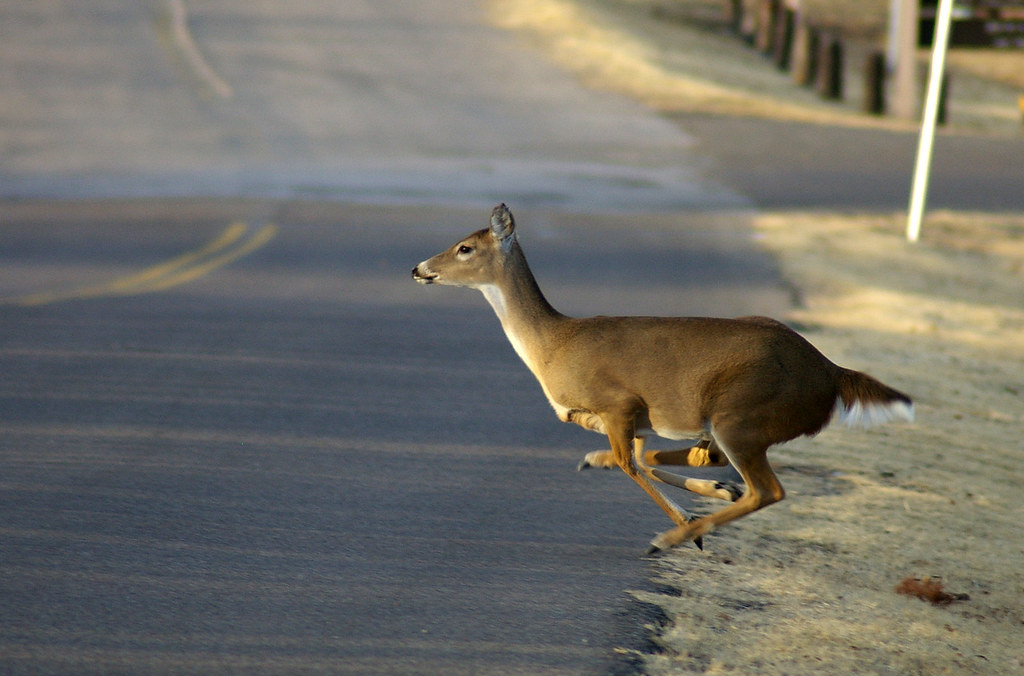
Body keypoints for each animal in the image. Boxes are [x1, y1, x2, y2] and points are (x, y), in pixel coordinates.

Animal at [412, 204, 913, 554]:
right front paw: (702, 497)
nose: (418, 269)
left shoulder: (619, 403)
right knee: (710, 459)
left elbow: (632, 464)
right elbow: (638, 457)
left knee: (766, 488)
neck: (552, 345)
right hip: (731, 418)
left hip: (741, 412)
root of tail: (831, 372)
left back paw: (672, 537)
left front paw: (683, 527)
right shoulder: (631, 418)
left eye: (465, 248)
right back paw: (703, 491)